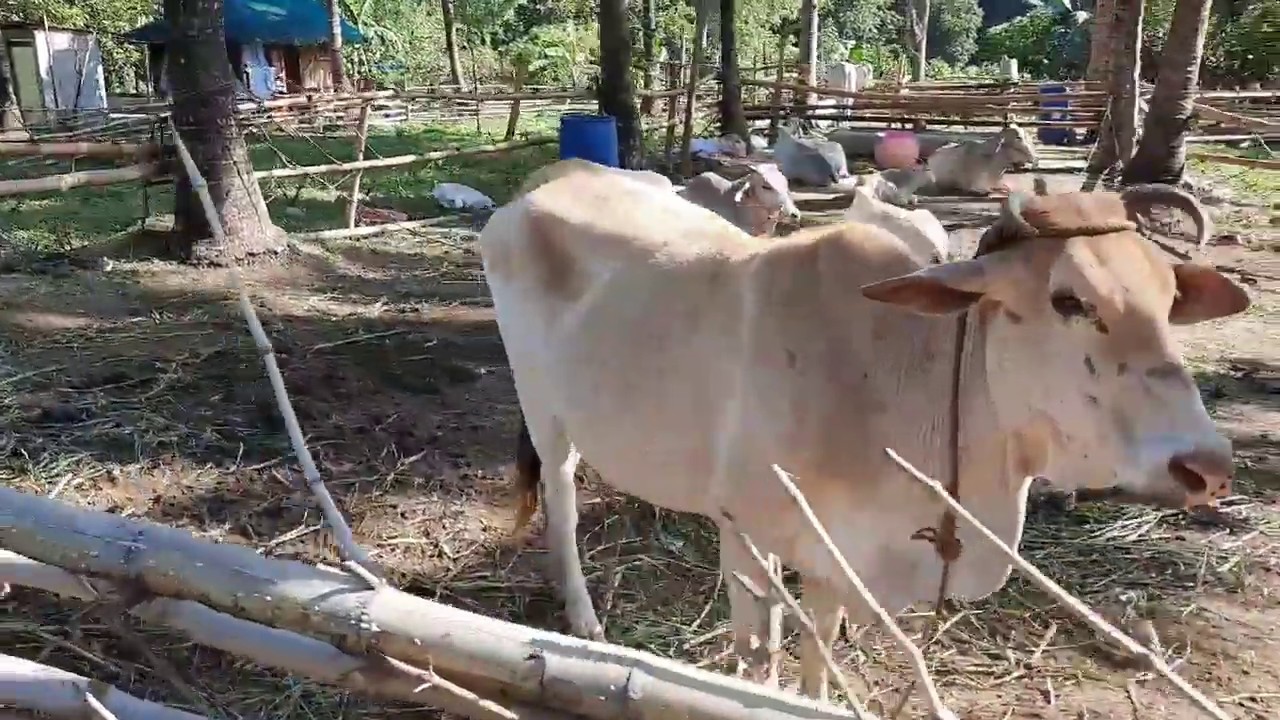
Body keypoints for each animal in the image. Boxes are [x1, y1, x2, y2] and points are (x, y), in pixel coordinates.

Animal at [481, 175, 1249, 701]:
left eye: (1169, 300)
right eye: (1069, 300)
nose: (1207, 466)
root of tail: (533, 194)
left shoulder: (835, 559)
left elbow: (817, 651)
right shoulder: (745, 533)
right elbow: (757, 655)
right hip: (544, 409)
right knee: (561, 497)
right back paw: (584, 620)